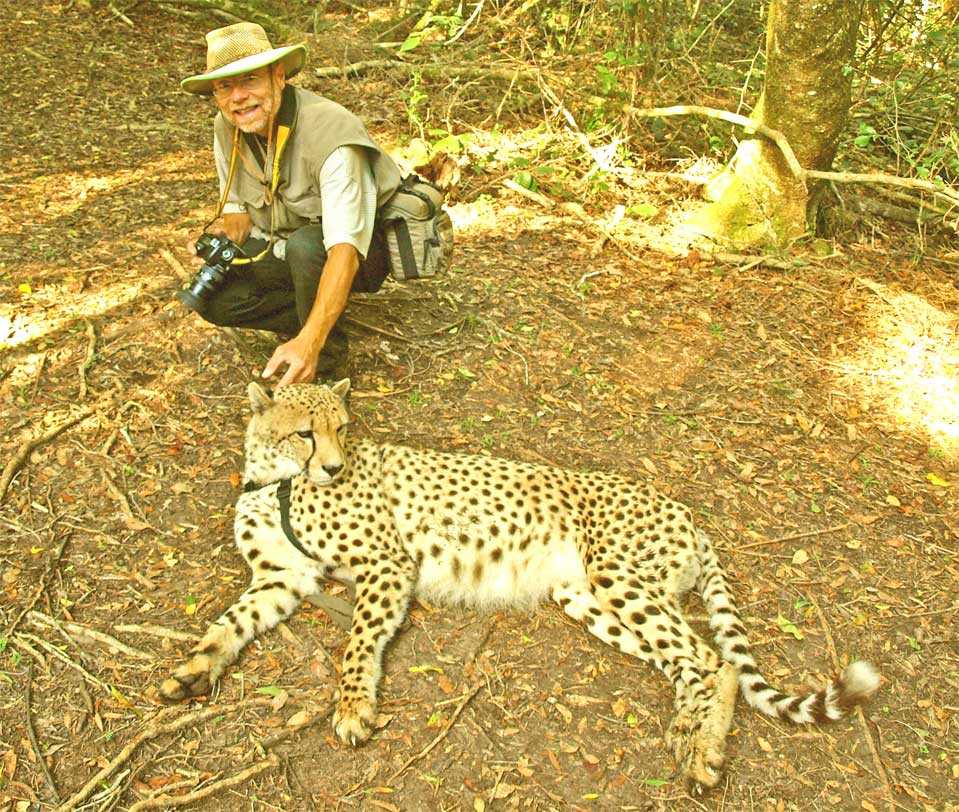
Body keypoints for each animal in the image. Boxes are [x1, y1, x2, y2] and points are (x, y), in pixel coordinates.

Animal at [159, 384, 876, 788]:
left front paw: (355, 707)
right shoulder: (283, 577)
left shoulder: (386, 566)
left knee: (711, 660)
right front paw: (193, 671)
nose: (333, 466)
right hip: (586, 597)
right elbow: (227, 625)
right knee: (686, 662)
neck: (276, 480)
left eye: (344, 427)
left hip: (618, 577)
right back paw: (684, 732)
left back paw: (702, 750)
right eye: (306, 432)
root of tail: (685, 512)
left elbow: (357, 645)